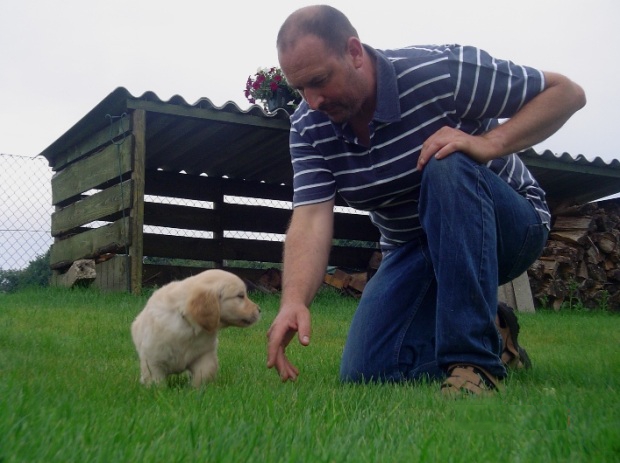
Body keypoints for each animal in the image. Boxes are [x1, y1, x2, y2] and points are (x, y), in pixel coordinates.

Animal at [132, 268, 260, 388]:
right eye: (240, 296)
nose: (259, 310)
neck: (188, 326)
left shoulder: (204, 355)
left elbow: (203, 375)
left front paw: (196, 390)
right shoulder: (153, 360)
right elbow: (156, 382)